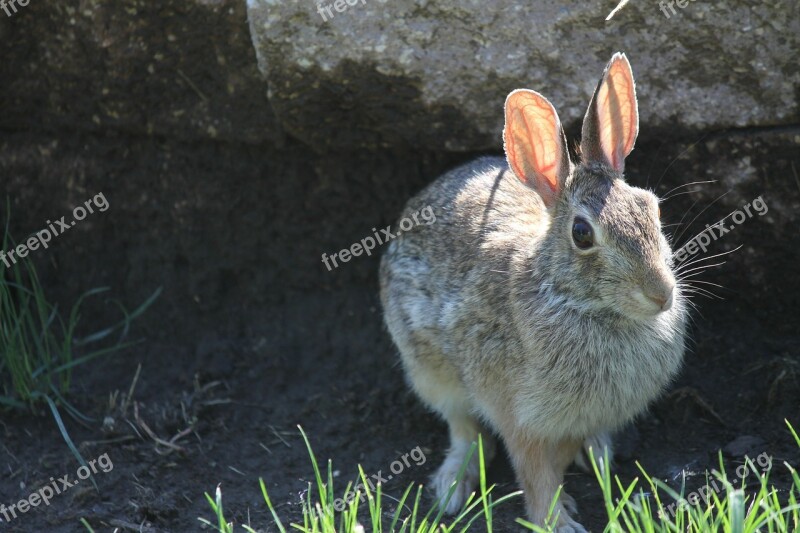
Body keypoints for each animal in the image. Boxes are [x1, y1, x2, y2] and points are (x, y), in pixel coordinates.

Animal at [380, 52, 688, 528]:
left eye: (652, 208)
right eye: (582, 234)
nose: (661, 294)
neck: (574, 299)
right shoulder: (520, 418)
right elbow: (536, 475)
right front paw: (560, 523)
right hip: (429, 369)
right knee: (463, 428)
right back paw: (452, 488)